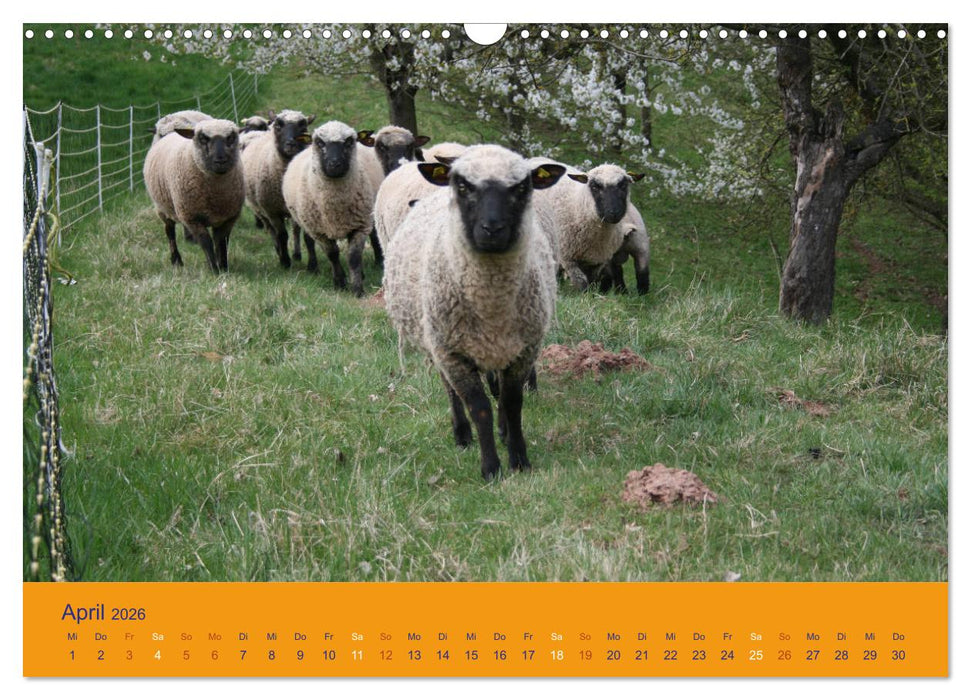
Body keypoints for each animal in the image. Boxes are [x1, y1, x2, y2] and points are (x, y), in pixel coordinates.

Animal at [143, 119, 245, 272]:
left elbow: (221, 243)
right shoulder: (192, 218)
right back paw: (176, 260)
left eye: (231, 137)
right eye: (202, 138)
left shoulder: (228, 218)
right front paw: (214, 270)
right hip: (163, 207)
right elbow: (206, 243)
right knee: (169, 231)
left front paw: (223, 268)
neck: (216, 194)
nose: (221, 160)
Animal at [240, 109, 317, 270]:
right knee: (272, 231)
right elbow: (282, 235)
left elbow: (307, 237)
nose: (291, 143)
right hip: (260, 209)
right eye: (278, 125)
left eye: (303, 126)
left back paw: (297, 254)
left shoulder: (304, 209)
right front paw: (285, 261)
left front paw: (312, 265)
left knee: (295, 229)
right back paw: (279, 252)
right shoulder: (272, 211)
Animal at [282, 120, 375, 297]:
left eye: (349, 142)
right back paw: (314, 267)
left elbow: (354, 257)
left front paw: (357, 289)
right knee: (309, 241)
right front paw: (339, 282)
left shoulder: (361, 225)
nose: (335, 164)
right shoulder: (319, 231)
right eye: (320, 142)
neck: (335, 207)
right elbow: (332, 254)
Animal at [383, 145, 566, 480]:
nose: (492, 229)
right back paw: (462, 435)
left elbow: (512, 402)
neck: (491, 302)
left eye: (521, 187)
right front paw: (491, 468)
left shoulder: (523, 349)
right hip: (436, 342)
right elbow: (478, 406)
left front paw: (519, 460)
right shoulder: (452, 352)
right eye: (463, 185)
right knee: (451, 391)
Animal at [531, 162, 645, 291]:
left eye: (623, 185)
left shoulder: (599, 259)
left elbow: (592, 282)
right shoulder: (568, 259)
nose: (614, 213)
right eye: (595, 186)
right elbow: (581, 283)